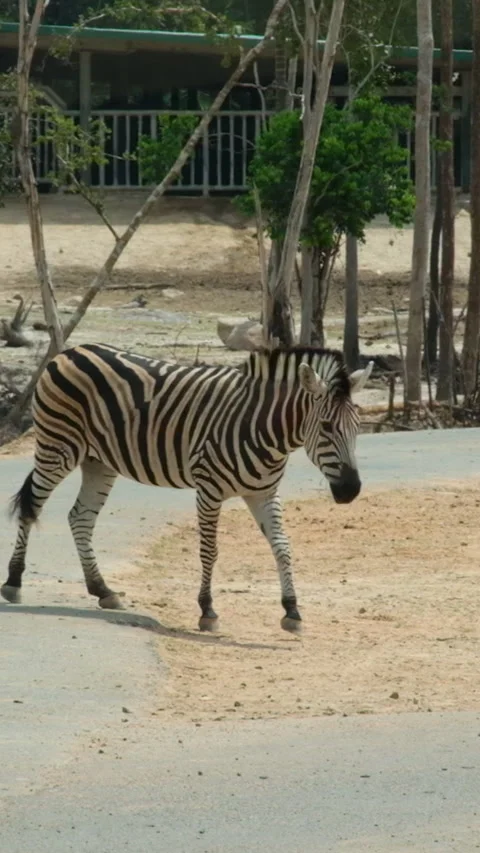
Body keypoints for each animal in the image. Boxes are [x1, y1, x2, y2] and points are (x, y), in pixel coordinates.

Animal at [2, 343, 372, 632]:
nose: (350, 490)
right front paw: (207, 610)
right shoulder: (208, 488)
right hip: (58, 447)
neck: (262, 426)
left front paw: (292, 610)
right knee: (32, 506)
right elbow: (210, 550)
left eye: (358, 425)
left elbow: (282, 547)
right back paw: (13, 582)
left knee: (80, 517)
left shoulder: (263, 492)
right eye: (326, 427)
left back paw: (102, 589)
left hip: (98, 461)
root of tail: (69, 351)